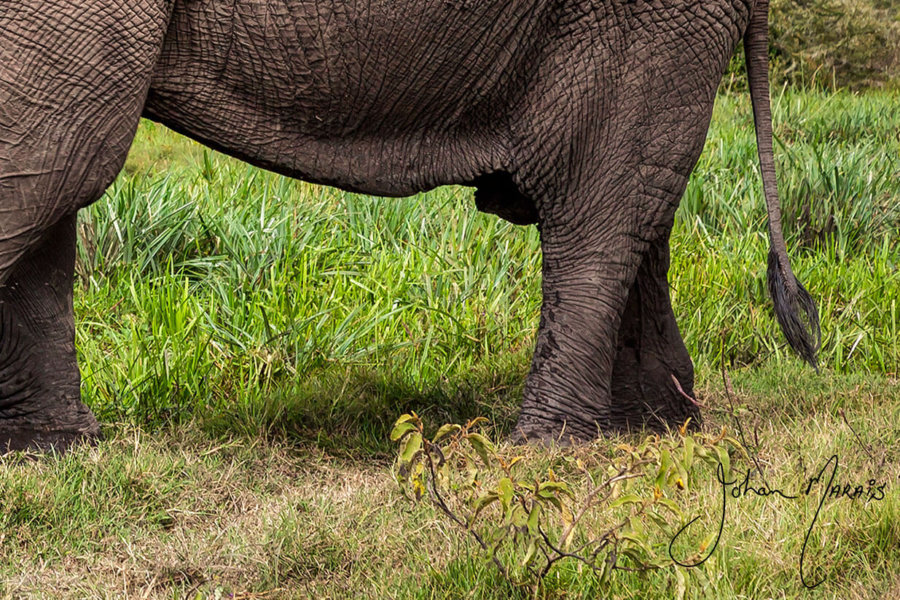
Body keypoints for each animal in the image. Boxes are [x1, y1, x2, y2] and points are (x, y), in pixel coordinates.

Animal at [0, 0, 820, 450]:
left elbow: (57, 153)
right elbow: (53, 166)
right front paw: (52, 454)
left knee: (598, 206)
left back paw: (545, 451)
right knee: (636, 207)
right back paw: (655, 430)